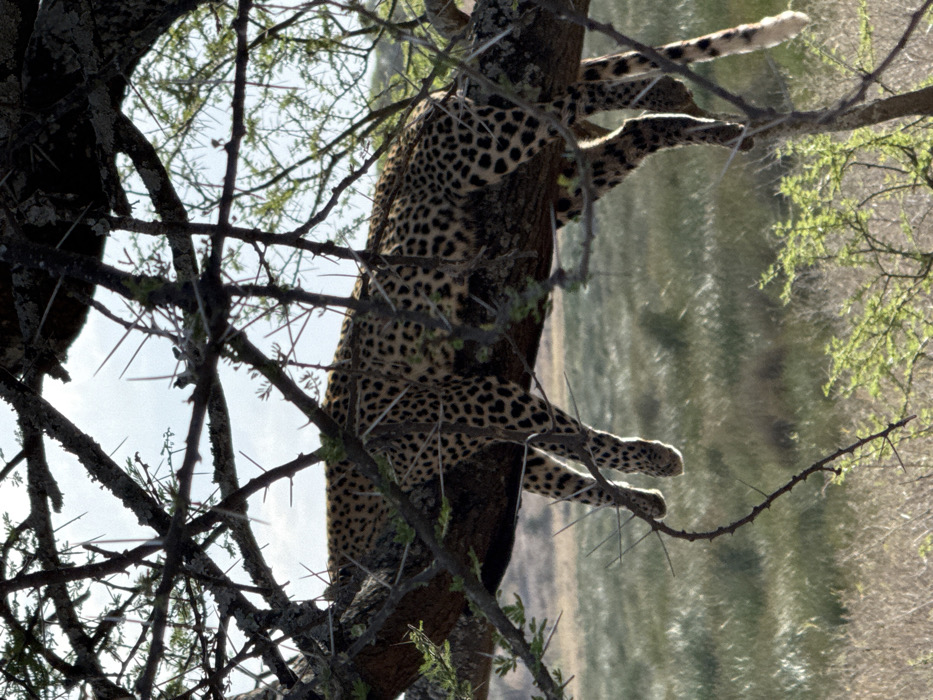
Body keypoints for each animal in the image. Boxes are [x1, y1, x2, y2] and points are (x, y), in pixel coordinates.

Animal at [323, 11, 809, 578]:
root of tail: (422, 106)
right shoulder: (486, 431)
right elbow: (568, 474)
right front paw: (642, 497)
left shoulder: (471, 400)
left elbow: (575, 437)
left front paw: (652, 464)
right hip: (559, 193)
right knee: (631, 132)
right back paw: (697, 116)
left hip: (476, 153)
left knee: (569, 98)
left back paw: (663, 91)